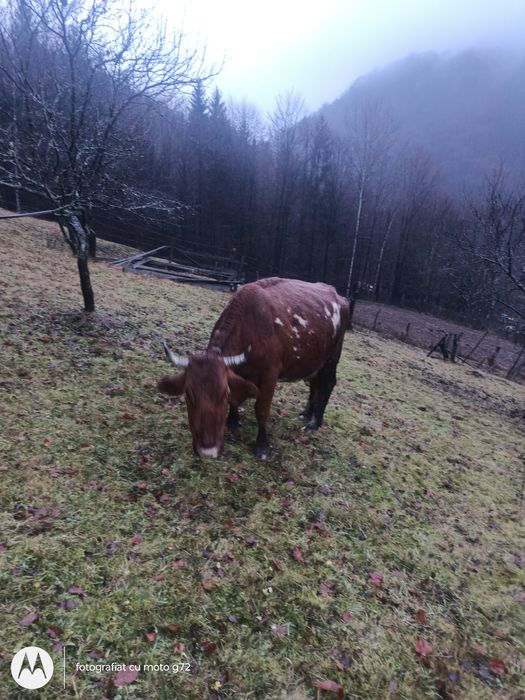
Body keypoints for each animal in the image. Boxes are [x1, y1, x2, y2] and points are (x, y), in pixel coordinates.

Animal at [157, 277, 349, 459]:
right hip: (314, 359)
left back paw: (315, 422)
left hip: (332, 357)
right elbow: (236, 399)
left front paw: (262, 445)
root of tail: (337, 294)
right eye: (188, 395)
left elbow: (261, 409)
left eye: (223, 394)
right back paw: (307, 413)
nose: (207, 450)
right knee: (314, 383)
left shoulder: (270, 374)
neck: (249, 326)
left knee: (327, 384)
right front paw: (233, 421)